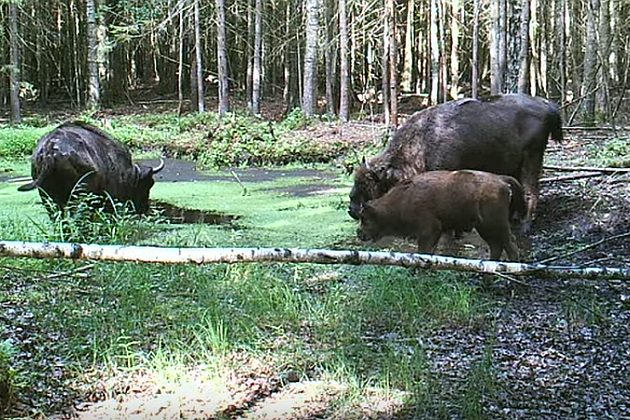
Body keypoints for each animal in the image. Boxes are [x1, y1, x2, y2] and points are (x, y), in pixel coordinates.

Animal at [350, 92, 564, 233]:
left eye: (368, 184)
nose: (352, 209)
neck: (422, 141)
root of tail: (547, 105)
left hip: (532, 158)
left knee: (531, 190)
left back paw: (525, 226)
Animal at [358, 169, 524, 260]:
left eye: (364, 219)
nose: (359, 233)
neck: (403, 199)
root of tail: (501, 180)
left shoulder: (428, 231)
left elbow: (423, 252)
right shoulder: (436, 233)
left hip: (496, 225)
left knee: (510, 245)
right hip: (485, 228)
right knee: (497, 246)